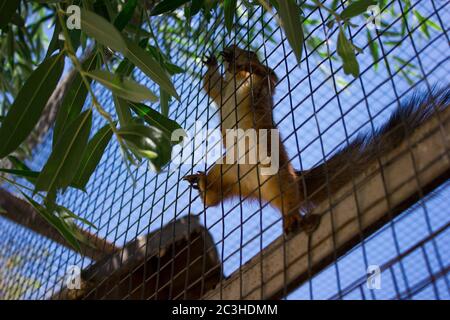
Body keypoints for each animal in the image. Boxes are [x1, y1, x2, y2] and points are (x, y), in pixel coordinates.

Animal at [184, 44, 450, 235]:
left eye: (249, 50)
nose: (230, 51)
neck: (236, 81)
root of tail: (254, 187)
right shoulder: (222, 91)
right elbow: (211, 85)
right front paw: (212, 62)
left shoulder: (262, 83)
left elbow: (268, 75)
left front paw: (245, 64)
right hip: (228, 171)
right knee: (214, 195)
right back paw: (202, 184)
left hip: (275, 174)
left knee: (290, 198)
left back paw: (292, 219)